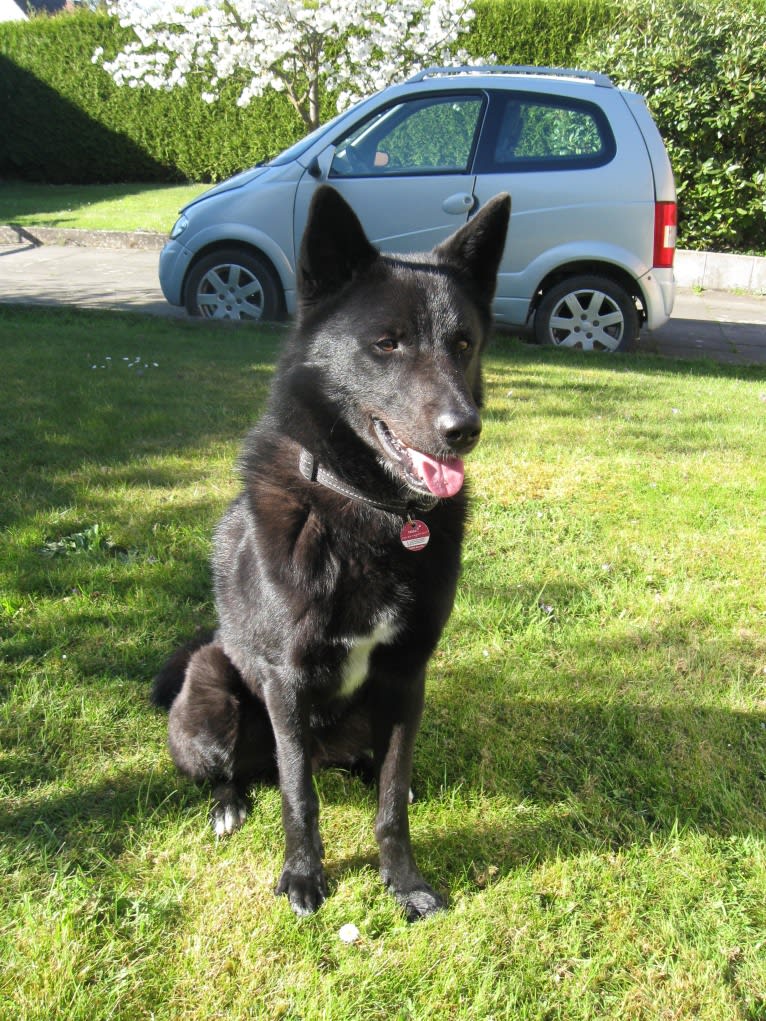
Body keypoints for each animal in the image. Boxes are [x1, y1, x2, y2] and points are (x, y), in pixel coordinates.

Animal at [151, 185, 510, 927]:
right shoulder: (286, 682)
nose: (463, 431)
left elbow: (391, 805)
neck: (373, 510)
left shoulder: (405, 677)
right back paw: (228, 804)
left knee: (371, 772)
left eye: (463, 344)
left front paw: (403, 882)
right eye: (387, 343)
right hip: (214, 693)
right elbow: (299, 797)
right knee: (243, 772)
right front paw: (302, 876)